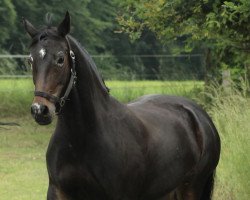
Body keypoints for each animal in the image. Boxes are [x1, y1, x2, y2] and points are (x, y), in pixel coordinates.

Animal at [22, 12, 220, 198]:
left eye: (60, 59)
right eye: (30, 60)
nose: (40, 110)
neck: (82, 137)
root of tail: (200, 116)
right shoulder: (58, 191)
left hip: (191, 188)